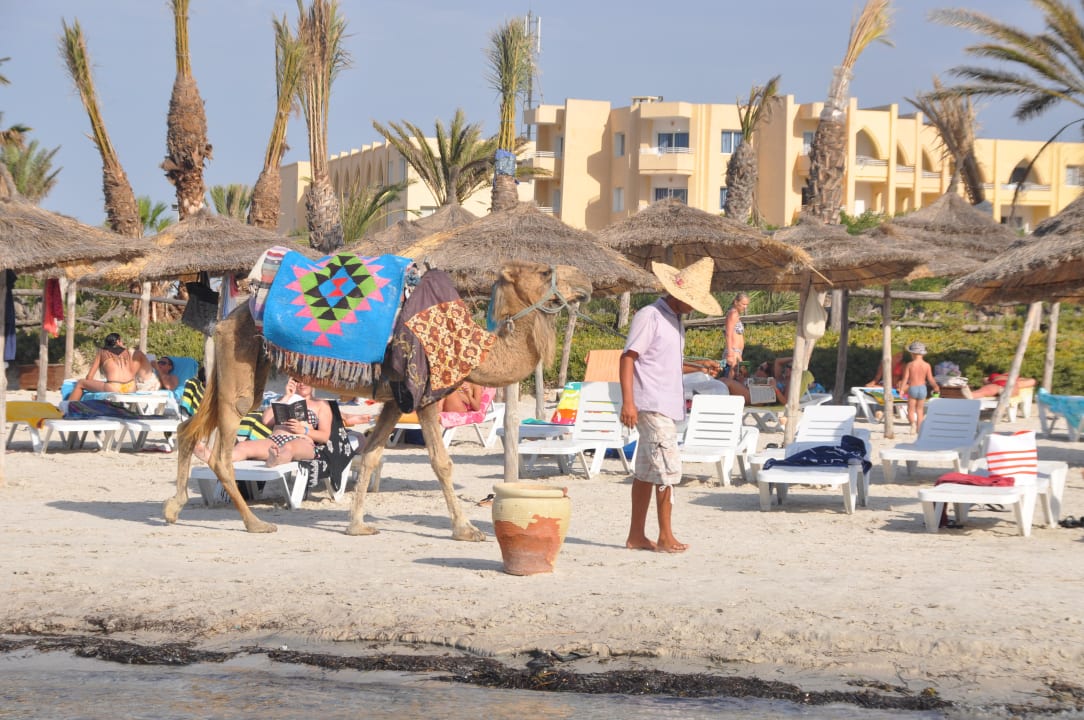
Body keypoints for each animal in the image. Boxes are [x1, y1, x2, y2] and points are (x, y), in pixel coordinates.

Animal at [163, 260, 592, 538]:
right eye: (543, 271)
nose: (585, 284)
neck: (472, 349)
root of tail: (222, 322)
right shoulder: (425, 396)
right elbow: (441, 463)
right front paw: (466, 529)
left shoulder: (394, 400)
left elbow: (368, 455)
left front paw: (357, 525)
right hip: (239, 372)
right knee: (220, 450)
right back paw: (254, 523)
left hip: (235, 373)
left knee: (187, 430)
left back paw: (172, 508)